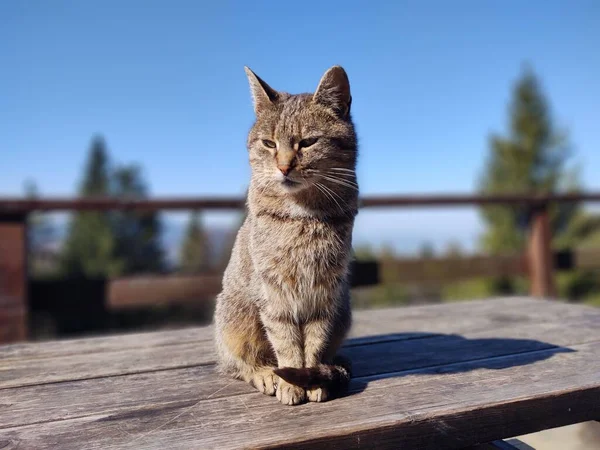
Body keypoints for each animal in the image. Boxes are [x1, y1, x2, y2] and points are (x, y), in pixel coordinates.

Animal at [214, 65, 358, 406]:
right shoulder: (273, 292)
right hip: (234, 318)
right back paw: (265, 374)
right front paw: (291, 383)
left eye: (308, 142)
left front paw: (314, 378)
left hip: (344, 308)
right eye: (269, 144)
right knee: (237, 365)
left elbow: (315, 342)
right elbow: (286, 344)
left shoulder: (325, 293)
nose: (283, 167)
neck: (302, 215)